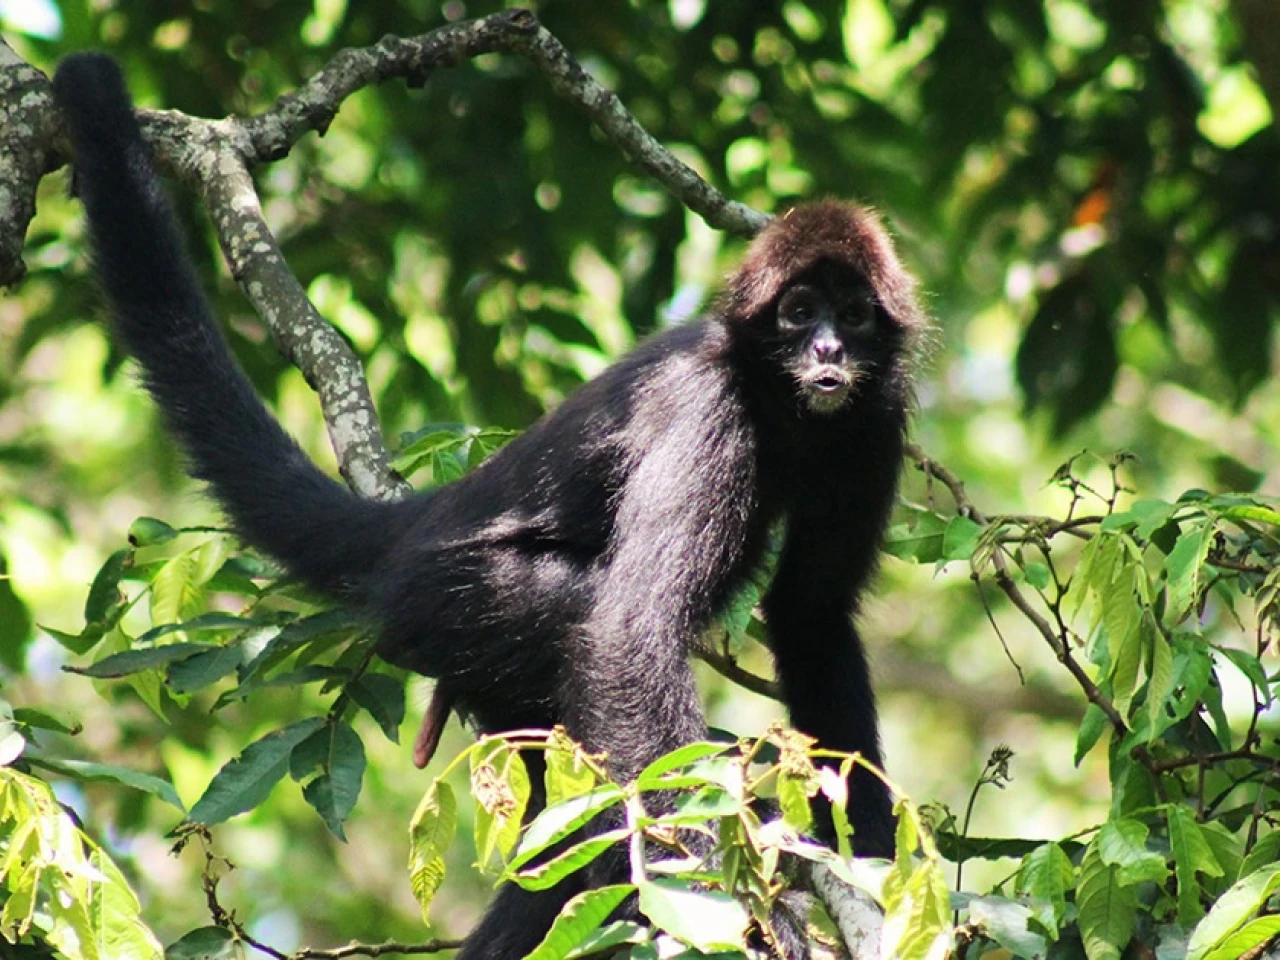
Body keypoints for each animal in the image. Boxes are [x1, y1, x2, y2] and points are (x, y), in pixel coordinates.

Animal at [54, 52, 925, 959]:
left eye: (853, 315)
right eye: (798, 312)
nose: (827, 349)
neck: (783, 407)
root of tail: (436, 515)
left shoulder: (876, 417)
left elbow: (811, 610)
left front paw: (868, 853)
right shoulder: (708, 404)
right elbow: (630, 632)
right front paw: (739, 903)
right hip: (457, 598)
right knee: (584, 629)